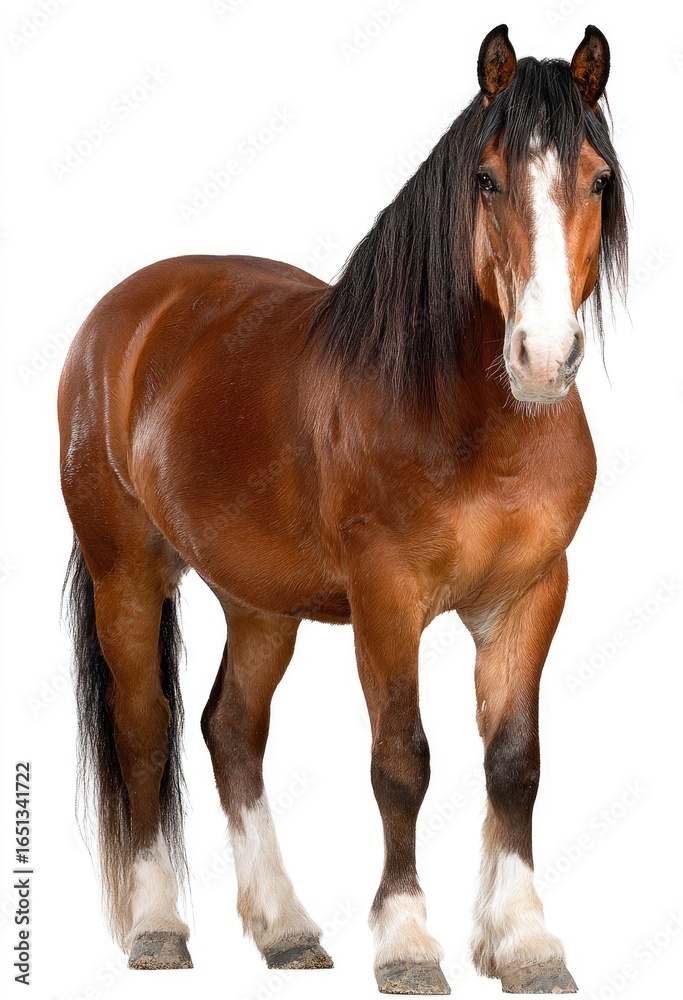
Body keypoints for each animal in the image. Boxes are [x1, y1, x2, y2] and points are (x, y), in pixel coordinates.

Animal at [59, 23, 627, 995]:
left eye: (597, 179)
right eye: (485, 179)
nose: (542, 358)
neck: (466, 416)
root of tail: (121, 315)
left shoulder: (529, 597)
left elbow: (514, 762)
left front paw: (522, 943)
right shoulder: (385, 600)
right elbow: (401, 764)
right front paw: (406, 945)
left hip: (257, 602)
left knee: (229, 731)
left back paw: (286, 930)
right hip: (125, 574)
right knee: (144, 733)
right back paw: (158, 928)